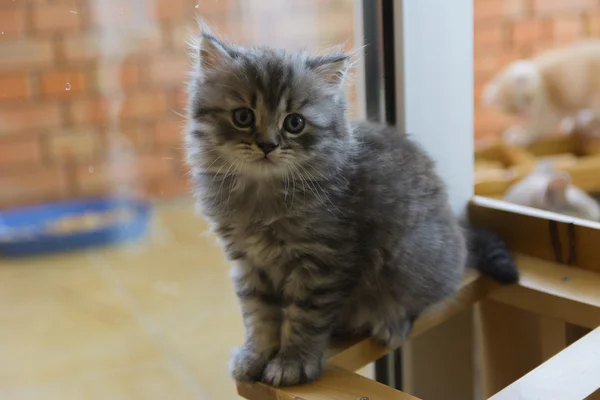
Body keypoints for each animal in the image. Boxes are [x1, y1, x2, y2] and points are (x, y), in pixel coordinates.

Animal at [185, 34, 516, 388]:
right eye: (243, 117)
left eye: (294, 123)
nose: (268, 145)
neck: (262, 195)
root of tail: (460, 232)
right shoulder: (248, 261)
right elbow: (258, 315)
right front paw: (256, 355)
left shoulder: (323, 260)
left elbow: (304, 317)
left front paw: (292, 361)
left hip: (411, 256)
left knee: (422, 301)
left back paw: (391, 321)